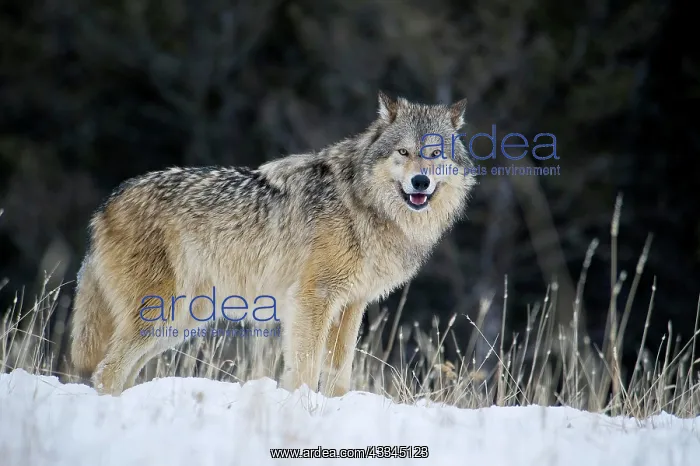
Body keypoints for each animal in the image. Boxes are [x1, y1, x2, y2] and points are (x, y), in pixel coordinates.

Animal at [70, 91, 476, 396]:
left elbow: (339, 373)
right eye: (403, 153)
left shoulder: (351, 305)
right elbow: (305, 367)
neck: (363, 205)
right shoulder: (313, 299)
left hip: (181, 321)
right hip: (160, 314)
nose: (421, 182)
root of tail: (106, 204)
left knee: (121, 371)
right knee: (107, 371)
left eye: (436, 154)